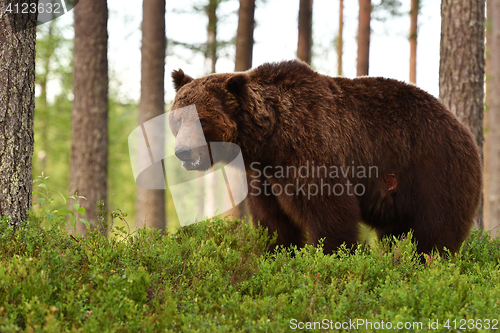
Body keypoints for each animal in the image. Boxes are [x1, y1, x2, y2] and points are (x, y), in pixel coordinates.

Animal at [170, 60, 482, 254]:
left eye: (201, 119)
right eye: (177, 119)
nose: (182, 152)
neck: (268, 140)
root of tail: (462, 126)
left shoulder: (311, 152)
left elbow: (330, 214)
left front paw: (330, 256)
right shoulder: (263, 177)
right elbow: (274, 223)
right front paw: (278, 255)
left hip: (435, 169)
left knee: (435, 230)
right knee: (396, 233)